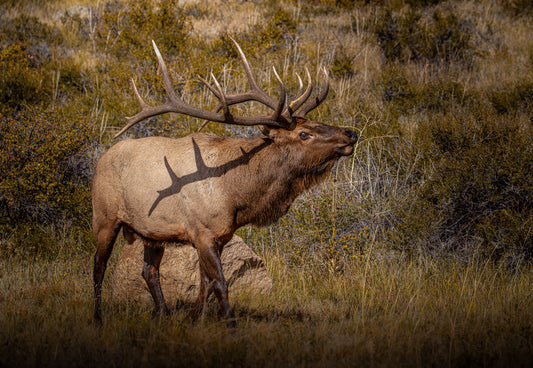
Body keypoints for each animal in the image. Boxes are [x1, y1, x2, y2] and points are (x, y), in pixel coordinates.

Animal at [92, 39, 358, 328]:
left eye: (313, 122)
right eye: (304, 134)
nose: (351, 133)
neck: (236, 195)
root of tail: (101, 158)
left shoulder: (220, 236)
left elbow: (206, 284)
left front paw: (192, 318)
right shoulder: (202, 232)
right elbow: (220, 282)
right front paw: (229, 324)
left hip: (153, 233)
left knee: (149, 270)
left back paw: (164, 314)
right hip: (104, 217)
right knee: (99, 266)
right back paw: (97, 317)